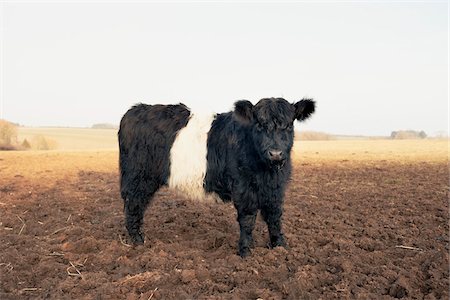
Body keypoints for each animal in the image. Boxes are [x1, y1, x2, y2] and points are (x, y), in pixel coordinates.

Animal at [119, 97, 316, 256]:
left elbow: (274, 216)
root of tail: (136, 109)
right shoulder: (244, 188)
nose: (275, 153)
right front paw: (246, 252)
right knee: (134, 205)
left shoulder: (276, 189)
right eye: (259, 125)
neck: (268, 171)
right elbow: (247, 219)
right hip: (139, 177)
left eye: (289, 125)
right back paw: (138, 241)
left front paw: (280, 247)